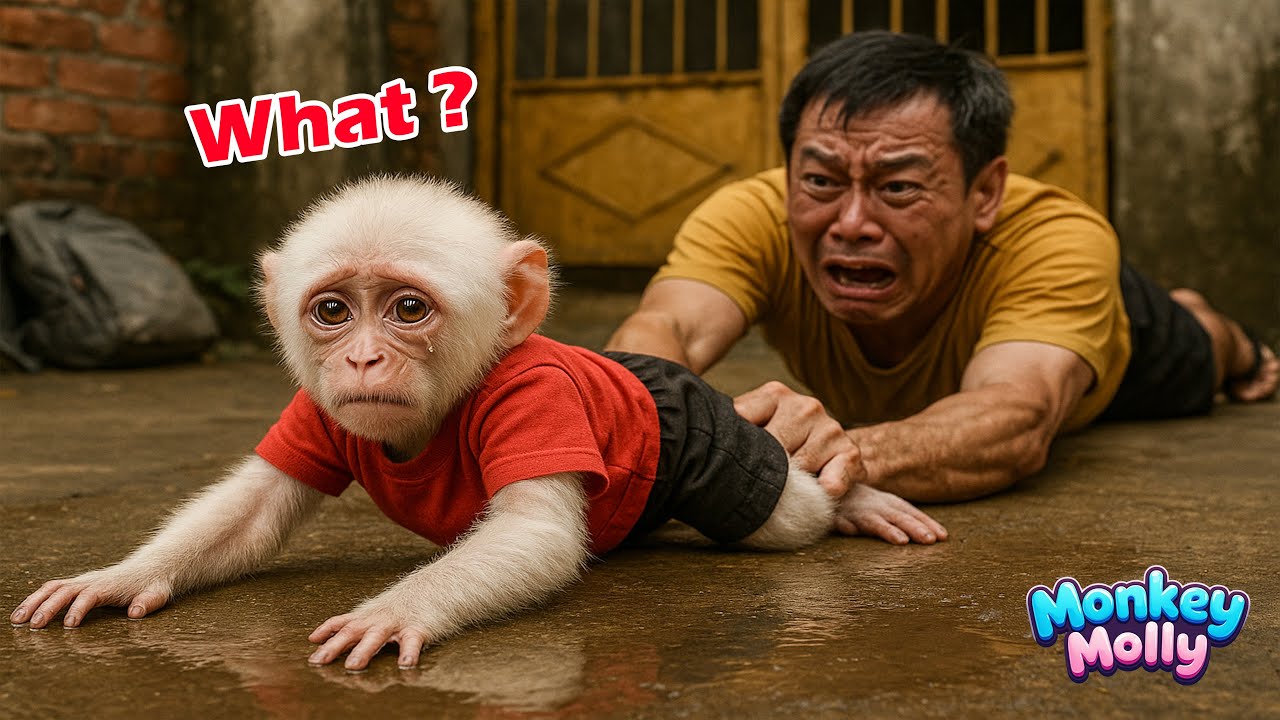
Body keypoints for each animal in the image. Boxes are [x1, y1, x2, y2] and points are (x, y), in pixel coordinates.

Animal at [11, 176, 947, 671]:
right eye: (332, 312)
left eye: (407, 308)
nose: (361, 362)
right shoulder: (314, 411)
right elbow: (256, 507)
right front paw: (121, 577)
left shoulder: (536, 395)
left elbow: (533, 532)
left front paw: (399, 611)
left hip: (701, 431)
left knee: (781, 511)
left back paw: (849, 497)